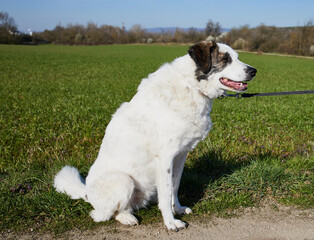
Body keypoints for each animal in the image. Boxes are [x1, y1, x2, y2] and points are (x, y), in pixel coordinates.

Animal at [53, 40, 255, 231]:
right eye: (226, 59)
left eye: (237, 57)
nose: (254, 70)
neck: (191, 86)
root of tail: (86, 192)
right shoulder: (165, 157)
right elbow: (165, 194)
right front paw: (171, 222)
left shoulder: (181, 155)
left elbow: (174, 186)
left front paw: (177, 209)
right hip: (123, 181)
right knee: (102, 214)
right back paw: (127, 218)